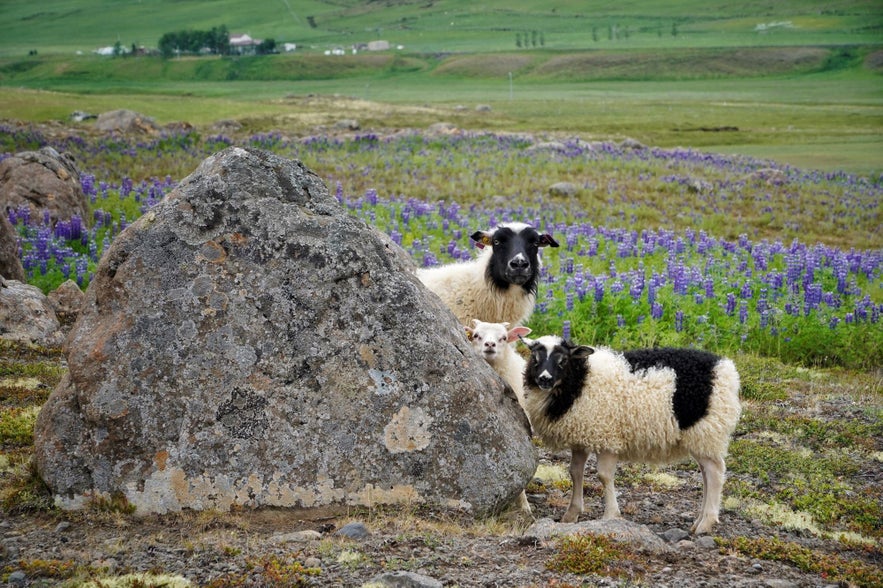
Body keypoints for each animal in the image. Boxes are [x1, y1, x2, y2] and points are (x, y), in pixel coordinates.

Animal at [520, 336, 744, 532]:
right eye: (535, 358)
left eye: (563, 360)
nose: (544, 379)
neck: (580, 380)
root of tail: (725, 369)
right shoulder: (582, 435)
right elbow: (575, 472)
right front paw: (571, 514)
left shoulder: (607, 436)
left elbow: (604, 476)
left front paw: (610, 515)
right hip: (701, 437)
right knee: (707, 474)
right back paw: (698, 521)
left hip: (706, 430)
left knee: (715, 473)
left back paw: (706, 523)